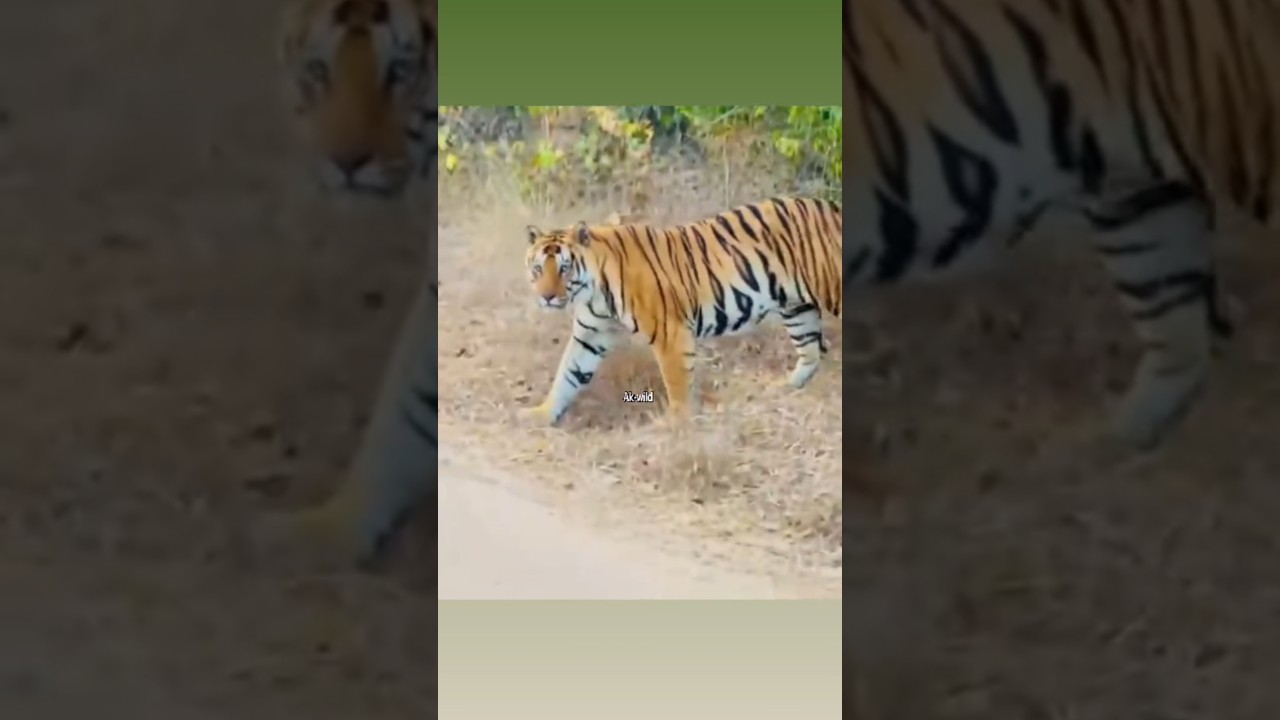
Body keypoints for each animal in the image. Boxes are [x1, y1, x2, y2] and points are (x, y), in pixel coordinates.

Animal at [522, 197, 843, 425]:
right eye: (538, 269)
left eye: (564, 269)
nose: (546, 297)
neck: (594, 292)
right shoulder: (590, 334)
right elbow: (567, 374)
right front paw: (541, 414)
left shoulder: (670, 334)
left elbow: (676, 384)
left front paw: (677, 425)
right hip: (797, 307)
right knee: (810, 353)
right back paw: (785, 387)